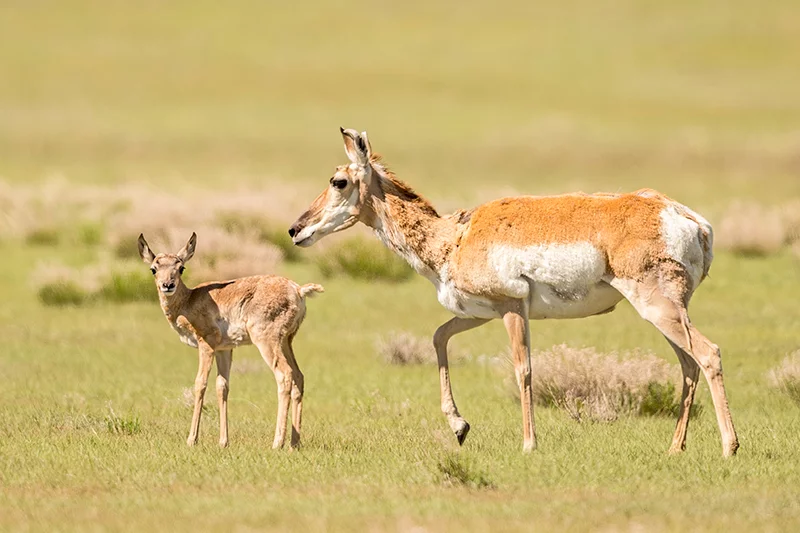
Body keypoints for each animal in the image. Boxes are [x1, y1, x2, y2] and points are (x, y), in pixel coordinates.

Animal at [137, 232, 323, 449]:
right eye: (154, 268)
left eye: (181, 267)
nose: (168, 285)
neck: (189, 299)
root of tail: (297, 290)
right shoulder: (224, 350)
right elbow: (222, 386)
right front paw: (223, 441)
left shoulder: (206, 345)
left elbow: (200, 384)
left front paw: (192, 439)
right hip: (286, 342)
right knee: (298, 376)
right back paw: (294, 444)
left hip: (267, 342)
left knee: (284, 375)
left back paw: (277, 443)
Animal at [288, 127, 739, 457]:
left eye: (338, 181)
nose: (295, 229)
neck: (454, 237)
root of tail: (686, 217)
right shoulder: (475, 313)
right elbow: (438, 337)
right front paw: (460, 427)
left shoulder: (511, 309)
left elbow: (523, 369)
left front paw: (528, 443)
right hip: (667, 313)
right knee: (688, 365)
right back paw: (676, 448)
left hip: (658, 307)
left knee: (708, 353)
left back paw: (729, 446)